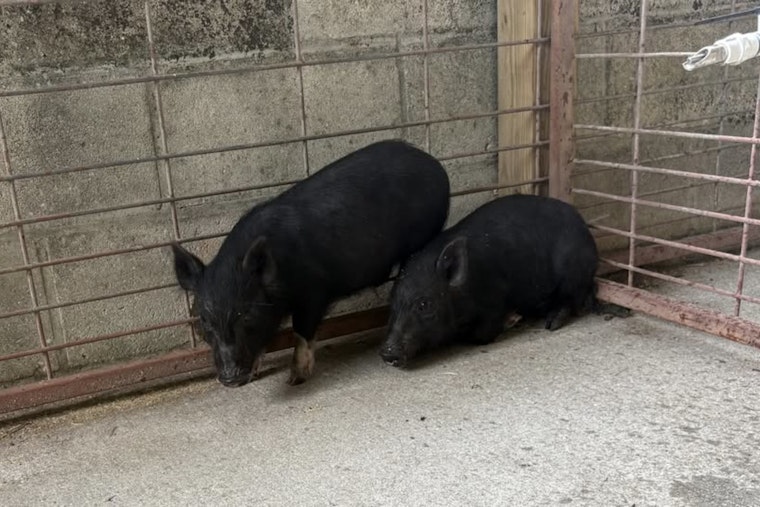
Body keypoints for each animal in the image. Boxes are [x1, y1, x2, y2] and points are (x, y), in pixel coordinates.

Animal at [171, 140, 450, 386]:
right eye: (204, 320)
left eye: (246, 314)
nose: (230, 379)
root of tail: (435, 164)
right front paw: (257, 374)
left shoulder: (314, 291)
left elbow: (301, 330)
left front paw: (296, 379)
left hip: (425, 233)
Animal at [380, 194, 598, 367]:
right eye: (392, 303)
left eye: (424, 304)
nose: (387, 352)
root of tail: (586, 230)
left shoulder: (496, 298)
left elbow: (481, 335)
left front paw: (511, 320)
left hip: (572, 271)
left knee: (570, 299)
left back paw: (552, 323)